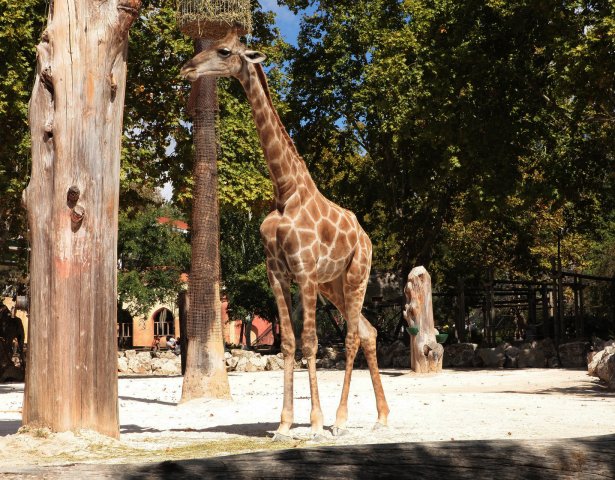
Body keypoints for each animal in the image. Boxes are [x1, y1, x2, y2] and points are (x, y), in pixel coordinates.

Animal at [179, 28, 390, 438]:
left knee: (353, 336)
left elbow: (310, 342)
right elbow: (289, 343)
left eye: (224, 51)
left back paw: (341, 420)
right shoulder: (277, 272)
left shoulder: (304, 272)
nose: (187, 69)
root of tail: (367, 237)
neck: (286, 189)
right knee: (368, 331)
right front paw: (284, 424)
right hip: (333, 285)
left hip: (356, 275)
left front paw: (315, 423)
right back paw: (381, 416)